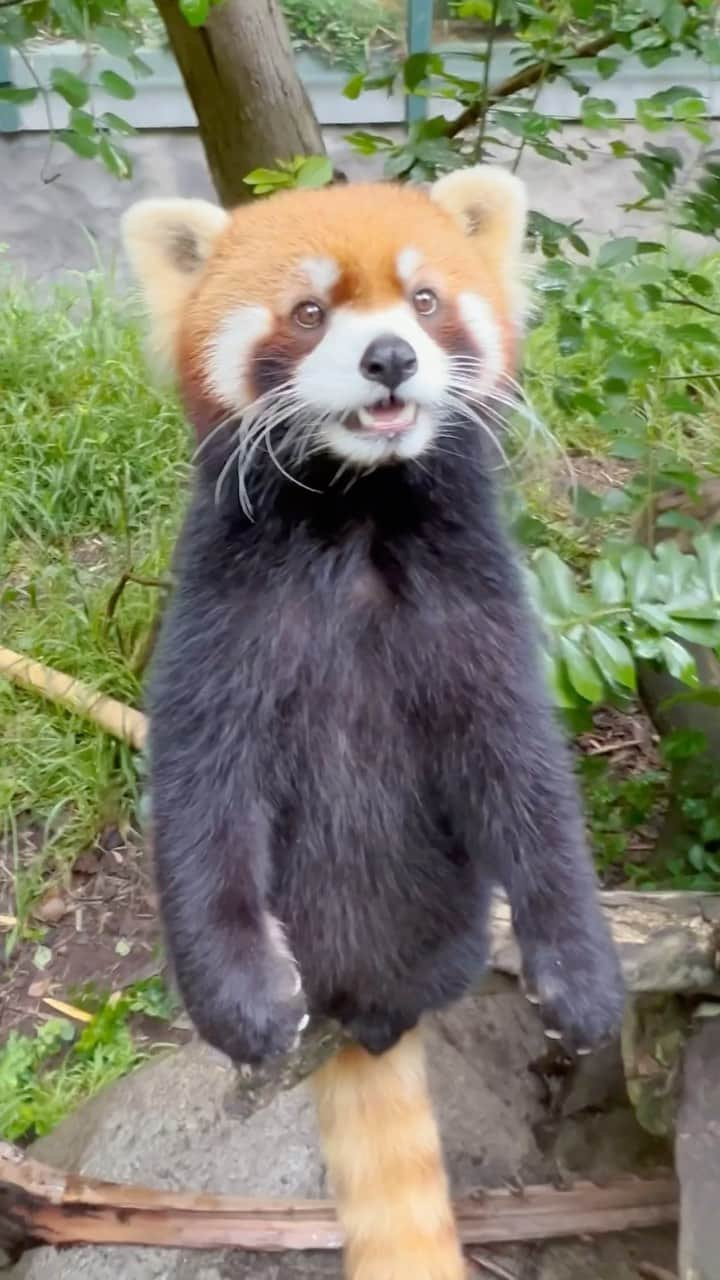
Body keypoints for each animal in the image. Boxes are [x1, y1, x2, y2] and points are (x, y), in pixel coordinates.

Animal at [120, 170, 620, 1280]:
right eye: (310, 312)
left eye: (424, 300)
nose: (389, 355)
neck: (358, 508)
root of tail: (369, 1010)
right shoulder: (222, 621)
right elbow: (200, 799)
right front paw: (243, 996)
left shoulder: (480, 616)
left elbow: (531, 788)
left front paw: (582, 975)